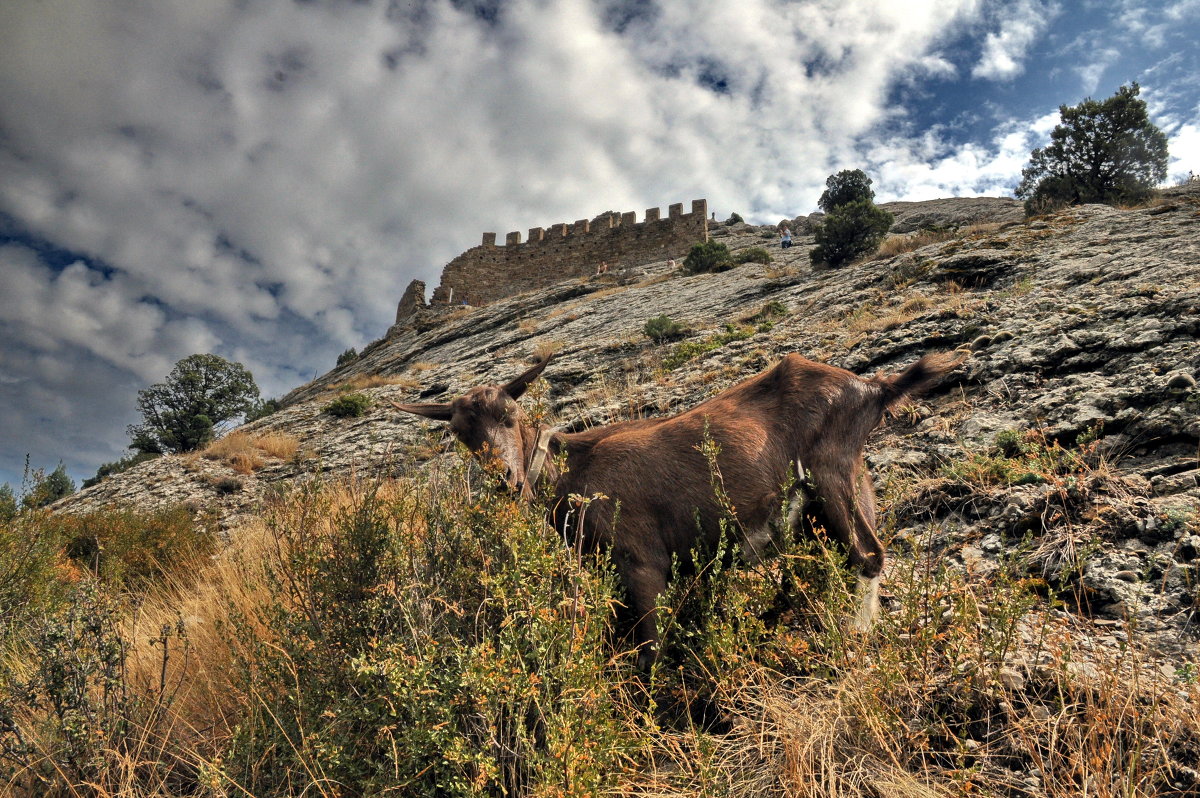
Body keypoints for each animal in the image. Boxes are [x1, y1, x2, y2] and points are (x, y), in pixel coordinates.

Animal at [393, 352, 964, 667]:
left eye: (511, 415)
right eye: (461, 434)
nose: (507, 481)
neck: (573, 470)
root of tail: (872, 388)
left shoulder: (642, 560)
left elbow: (649, 647)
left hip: (832, 474)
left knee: (868, 556)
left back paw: (851, 641)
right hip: (843, 488)